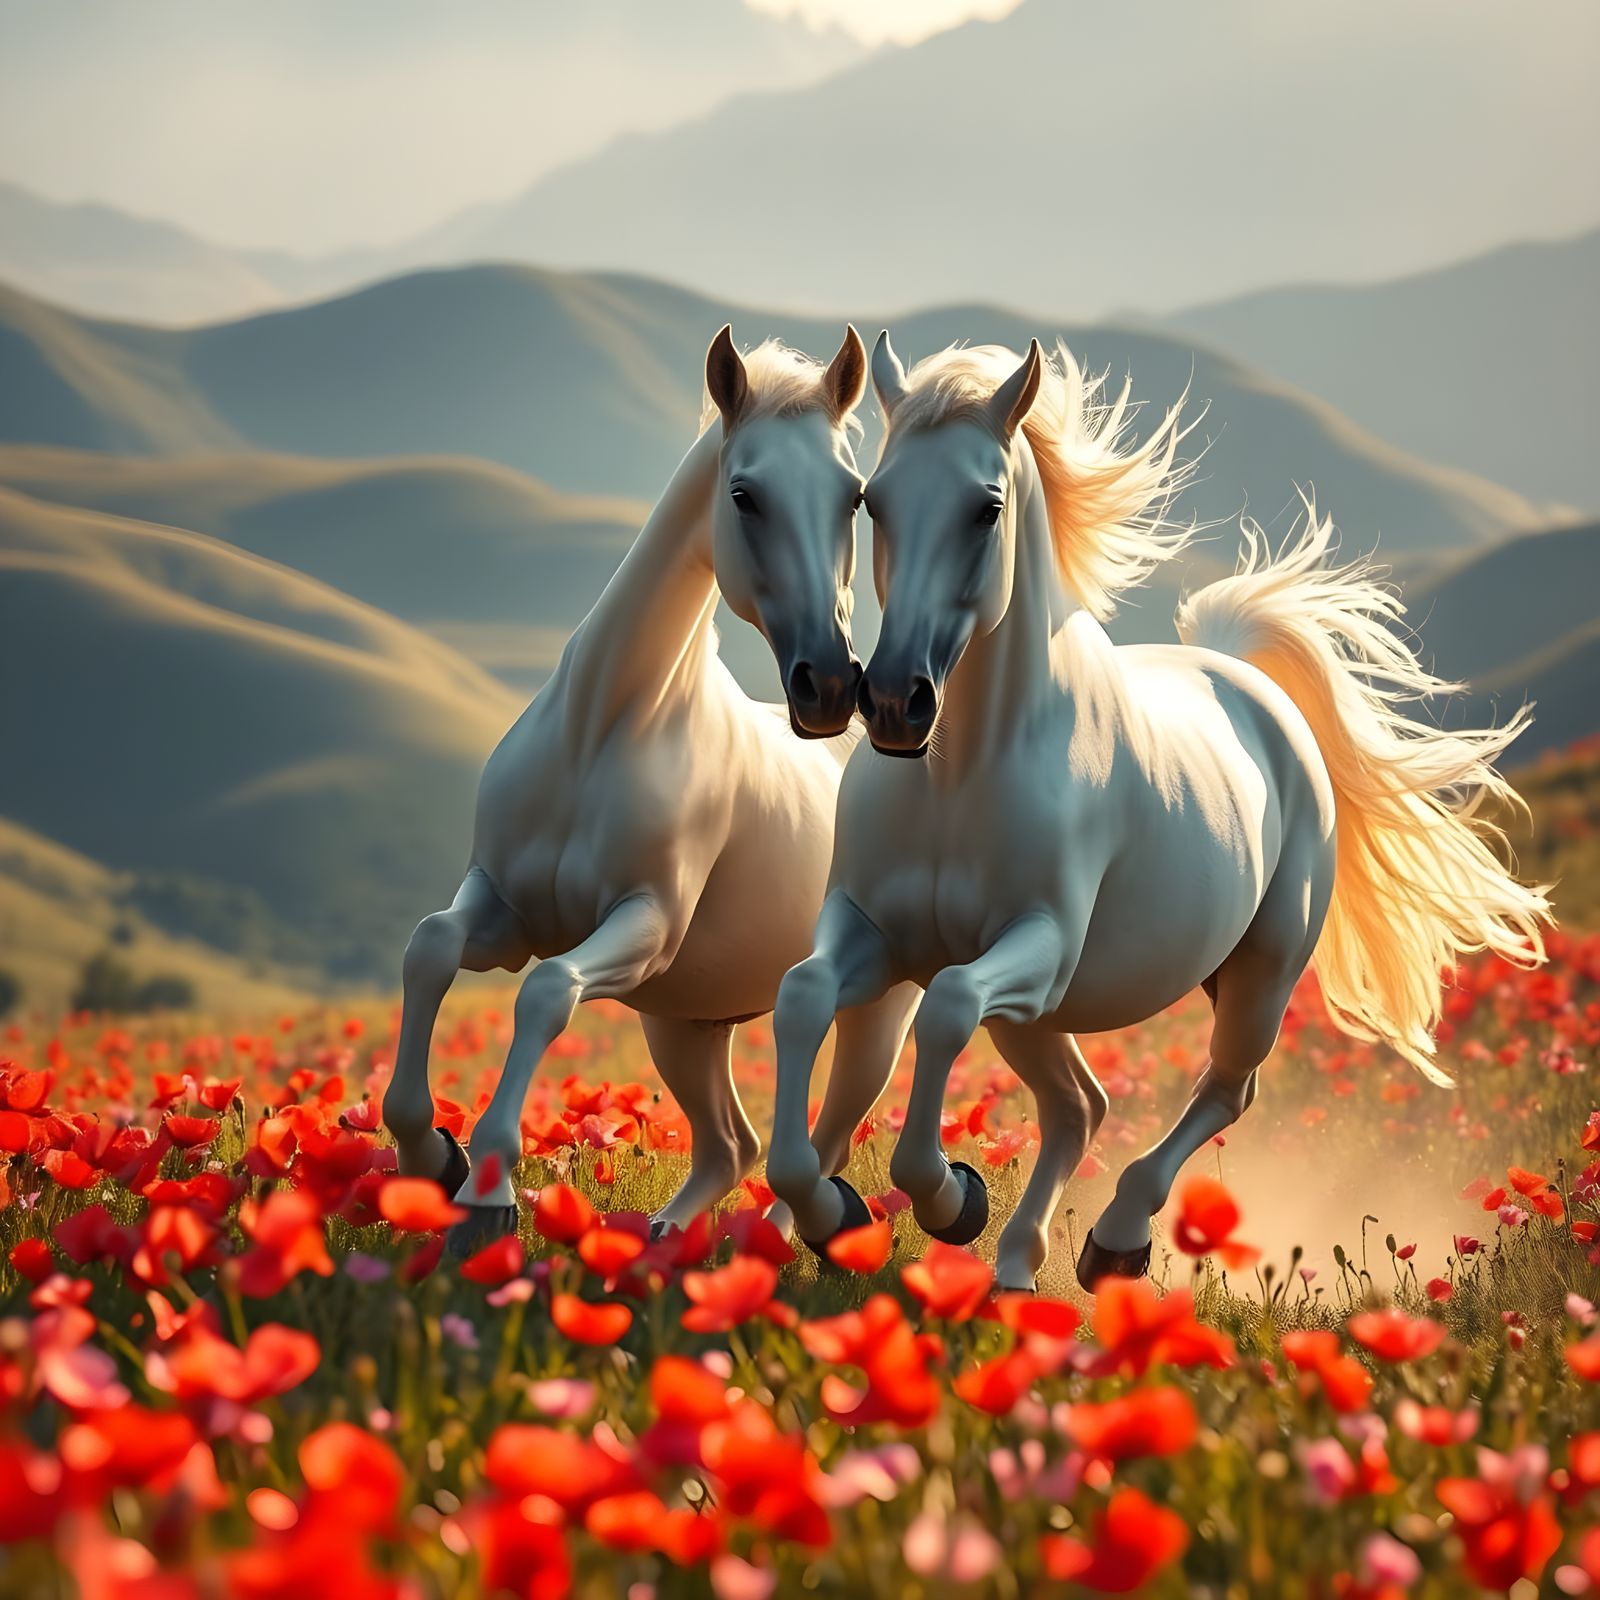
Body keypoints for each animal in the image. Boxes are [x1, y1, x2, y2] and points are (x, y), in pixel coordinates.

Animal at [383, 326, 920, 1252]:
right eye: (744, 494)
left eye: (852, 499)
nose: (828, 685)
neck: (604, 734)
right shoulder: (506, 910)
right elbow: (431, 947)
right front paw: (434, 1156)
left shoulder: (644, 925)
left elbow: (546, 994)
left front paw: (487, 1193)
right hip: (684, 1022)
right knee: (730, 1147)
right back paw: (665, 1243)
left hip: (873, 1011)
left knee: (825, 1141)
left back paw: (805, 1234)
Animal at [764, 331, 1551, 1292]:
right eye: (872, 501)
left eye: (987, 509)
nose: (891, 704)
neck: (959, 780)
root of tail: (1246, 681)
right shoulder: (879, 937)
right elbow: (803, 996)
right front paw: (832, 1213)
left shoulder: (1037, 949)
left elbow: (947, 1011)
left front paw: (952, 1197)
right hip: (1042, 1017)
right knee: (1080, 1106)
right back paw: (1016, 1273)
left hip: (1255, 974)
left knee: (1223, 1090)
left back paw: (1114, 1241)